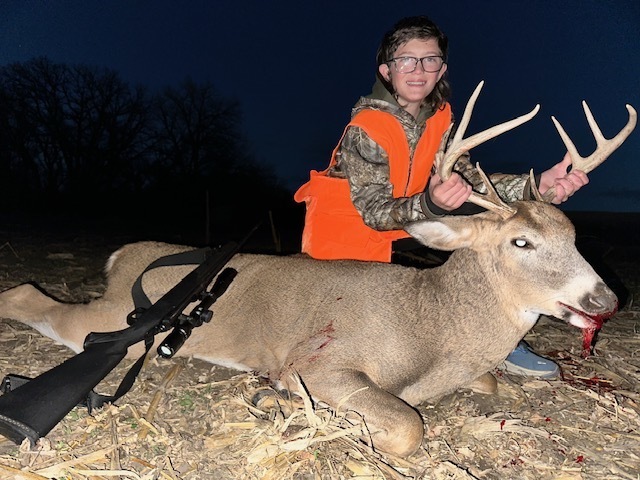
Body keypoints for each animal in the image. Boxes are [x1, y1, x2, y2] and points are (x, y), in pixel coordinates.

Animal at [0, 82, 635, 457]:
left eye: (574, 237)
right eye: (521, 241)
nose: (605, 300)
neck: (430, 325)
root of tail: (120, 259)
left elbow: (492, 380)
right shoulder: (323, 363)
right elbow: (407, 426)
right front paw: (284, 402)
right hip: (114, 321)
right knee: (29, 295)